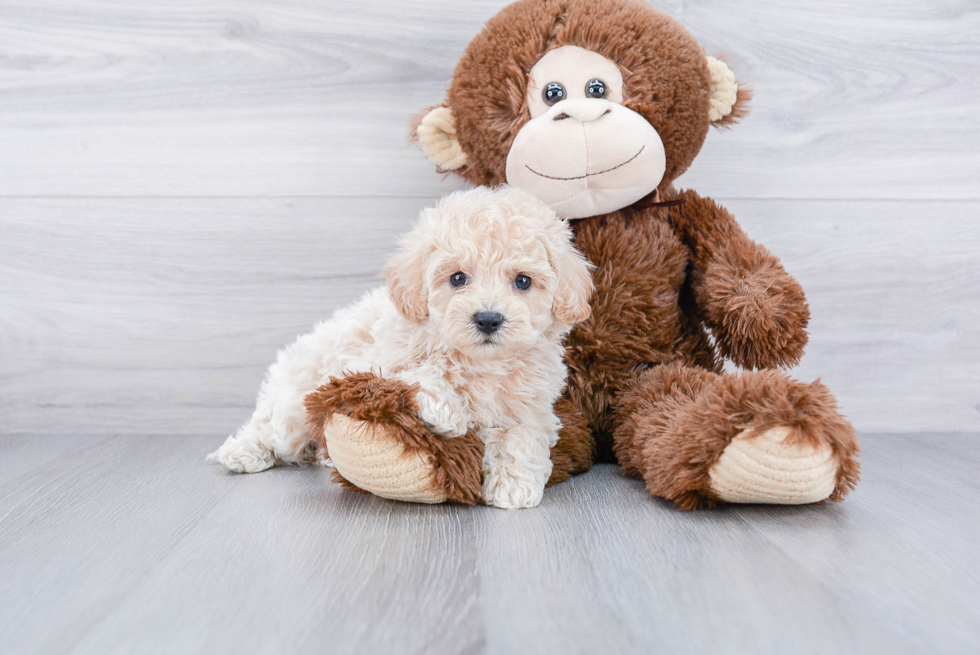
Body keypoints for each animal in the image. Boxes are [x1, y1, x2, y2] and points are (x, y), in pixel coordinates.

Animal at [207, 187, 588, 510]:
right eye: (458, 278)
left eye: (523, 281)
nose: (488, 319)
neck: (479, 362)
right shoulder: (376, 361)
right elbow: (421, 370)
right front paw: (449, 412)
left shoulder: (531, 407)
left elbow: (523, 436)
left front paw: (514, 485)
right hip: (294, 405)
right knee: (270, 428)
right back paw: (242, 452)